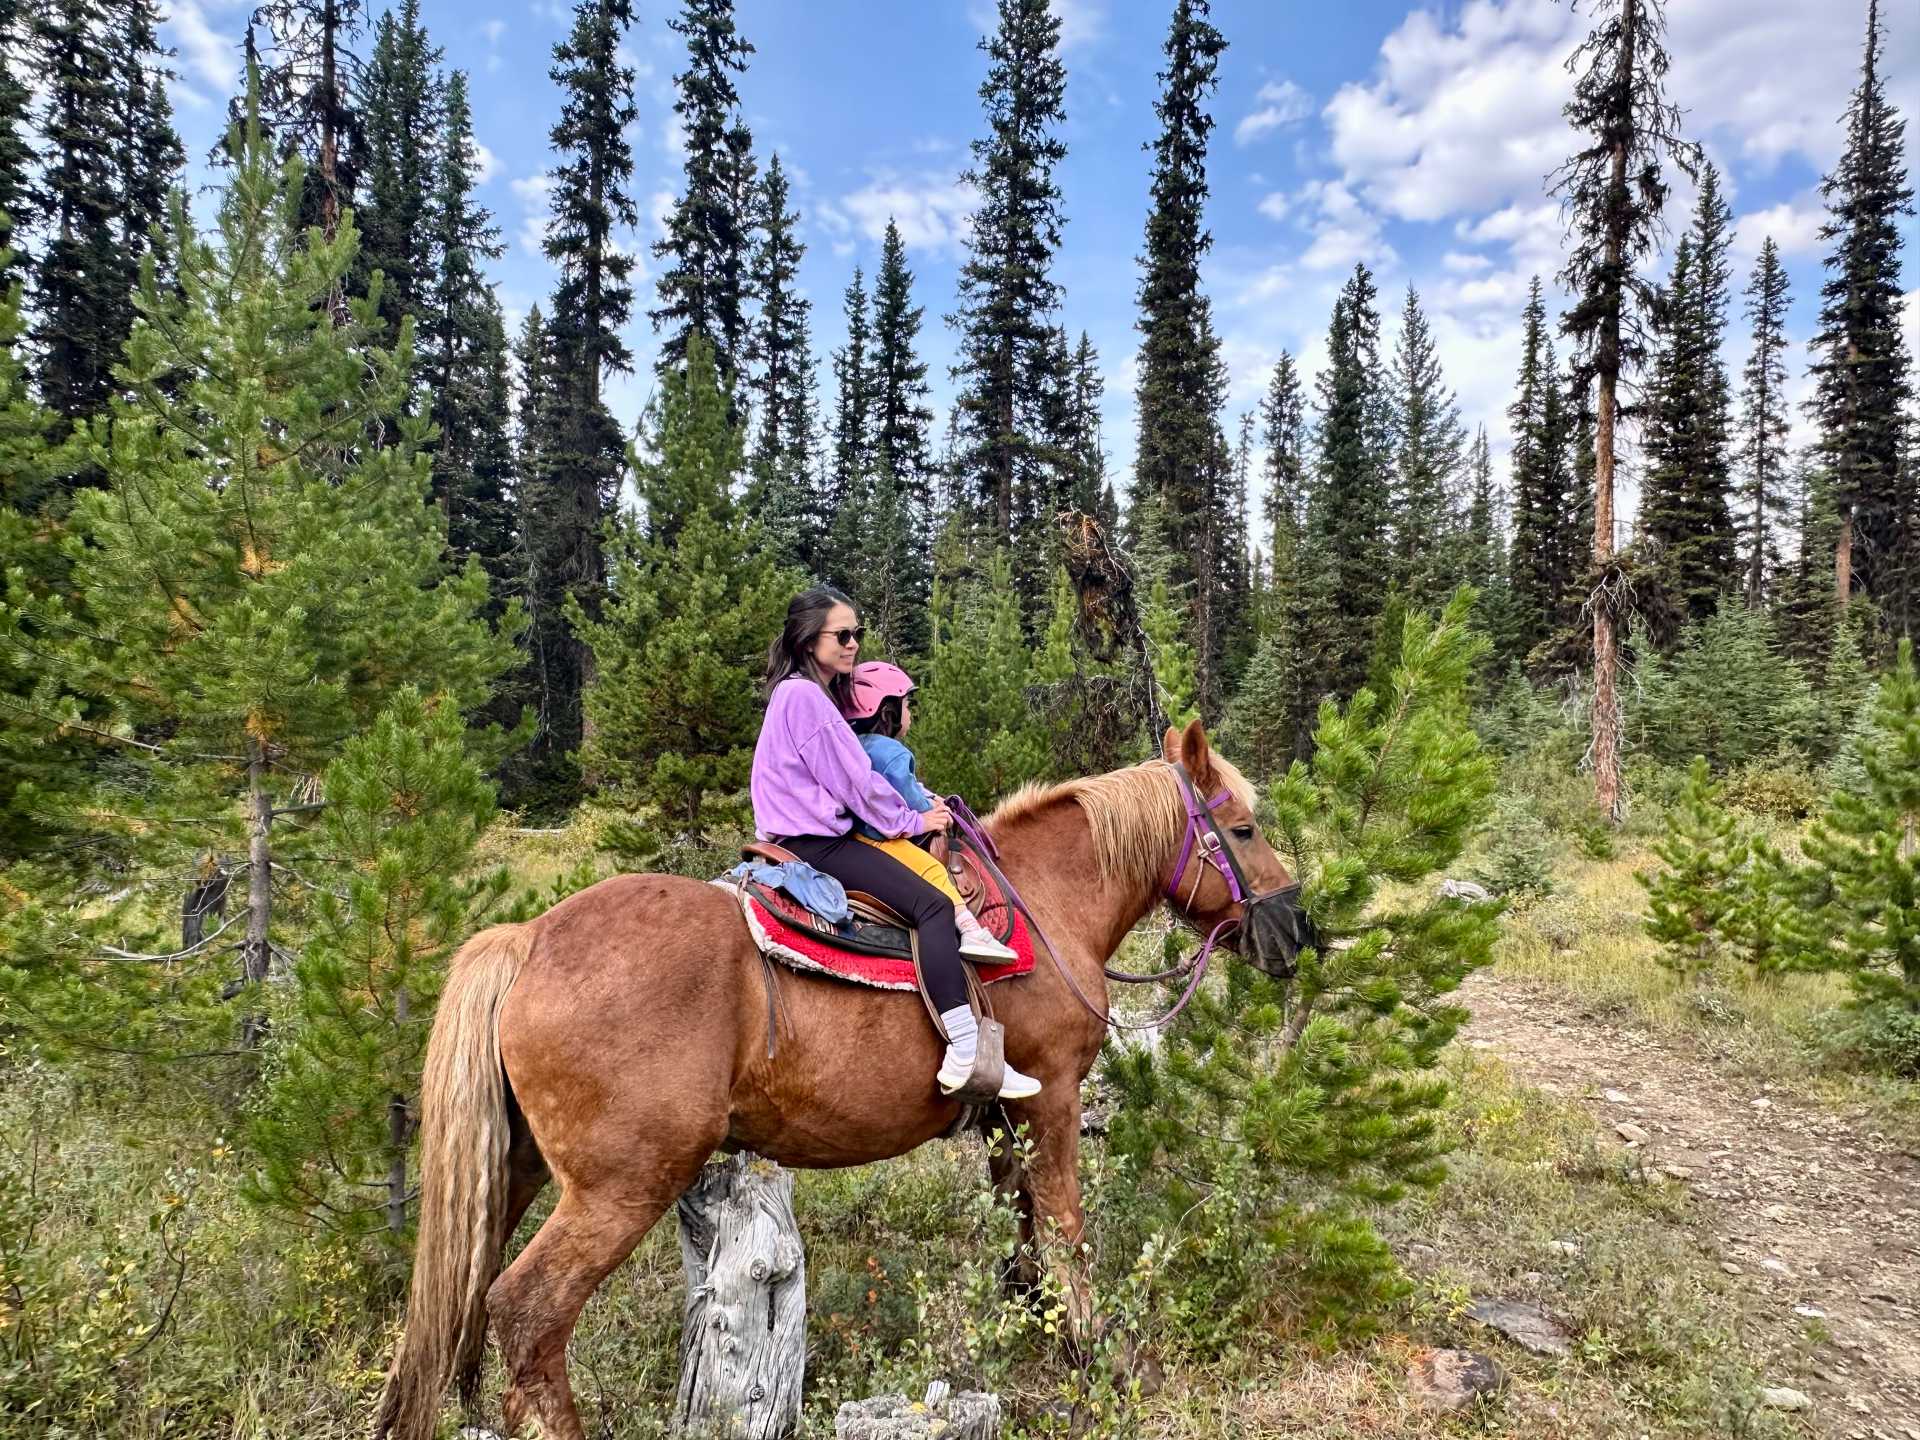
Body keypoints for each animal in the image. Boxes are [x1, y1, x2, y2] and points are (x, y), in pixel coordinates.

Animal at [370, 721, 1305, 1440]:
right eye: (1244, 829)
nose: (1295, 928)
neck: (1046, 905)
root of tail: (526, 939)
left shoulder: (1005, 1116)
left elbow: (1020, 1225)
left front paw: (1031, 1324)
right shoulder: (1056, 1097)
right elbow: (1068, 1225)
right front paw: (1091, 1352)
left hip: (516, 1170)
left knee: (464, 1294)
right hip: (619, 1186)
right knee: (527, 1311)